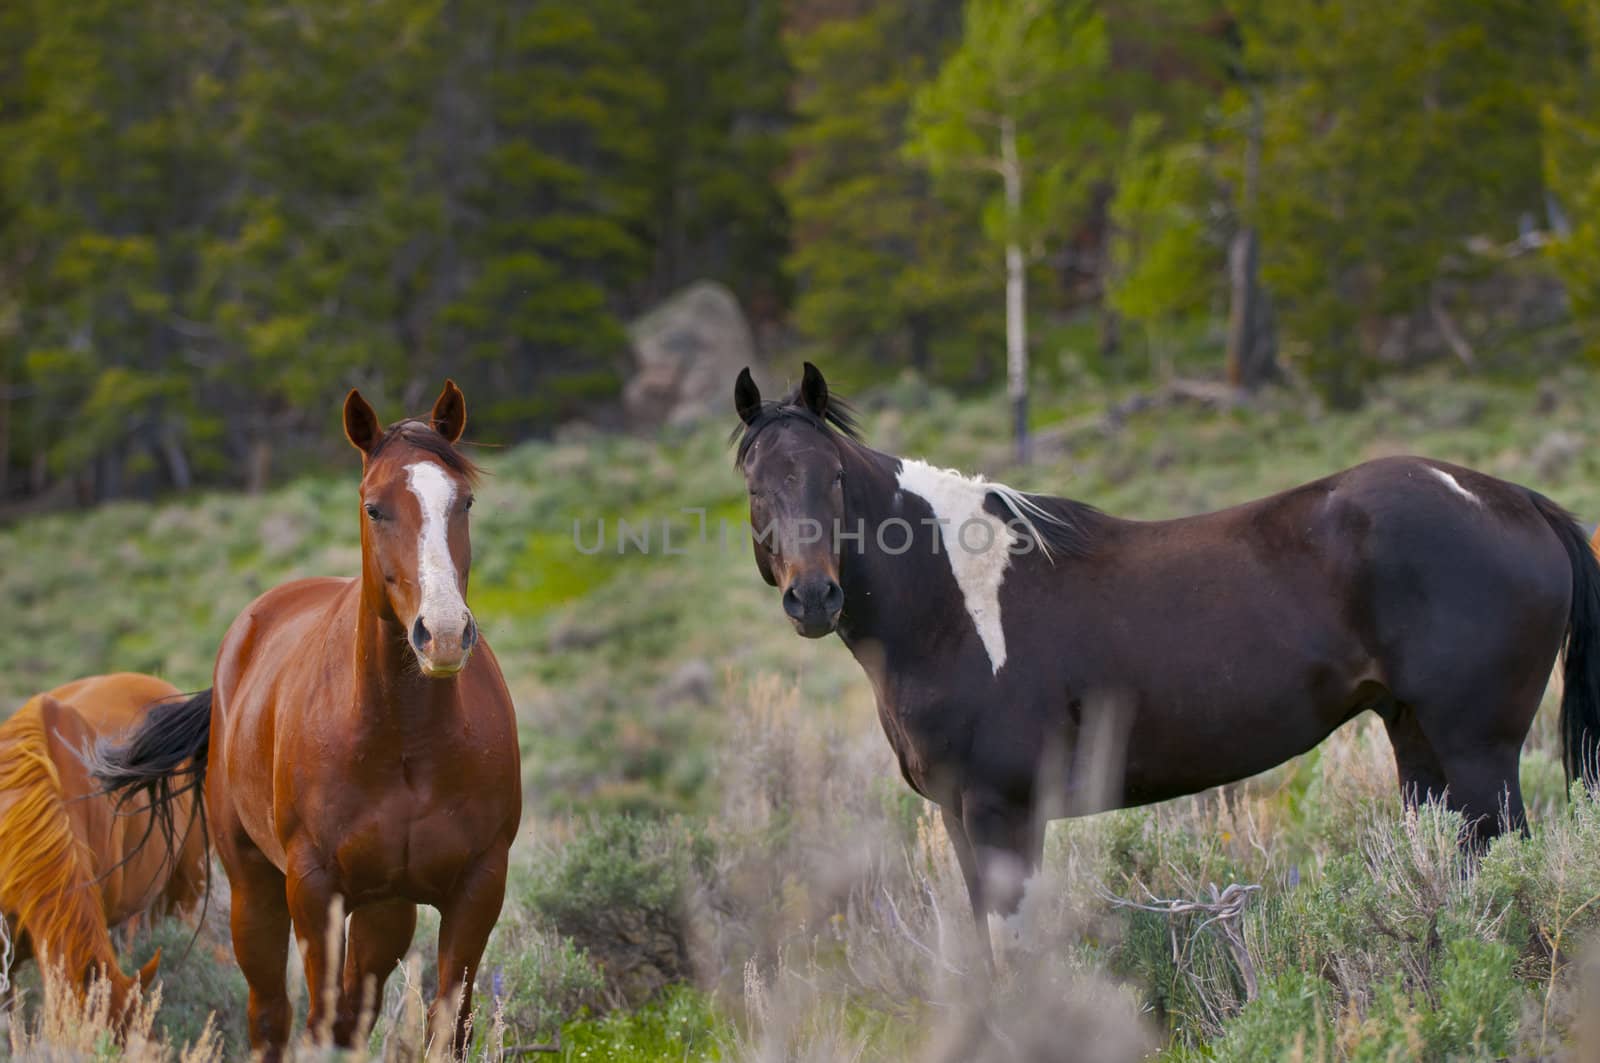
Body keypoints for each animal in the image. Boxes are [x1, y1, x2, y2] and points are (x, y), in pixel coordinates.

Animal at [93, 382, 521, 1056]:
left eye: (465, 501)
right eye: (375, 508)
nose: (445, 634)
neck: (406, 741)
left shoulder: (478, 886)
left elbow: (448, 1027)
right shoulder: (315, 888)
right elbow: (316, 1022)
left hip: (384, 909)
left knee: (350, 1016)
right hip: (255, 890)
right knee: (274, 1015)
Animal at [732, 361, 1600, 960]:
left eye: (832, 478)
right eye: (754, 485)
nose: (814, 596)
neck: (952, 604)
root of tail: (1516, 501)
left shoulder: (1003, 809)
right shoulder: (959, 815)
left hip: (1479, 750)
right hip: (1417, 740)